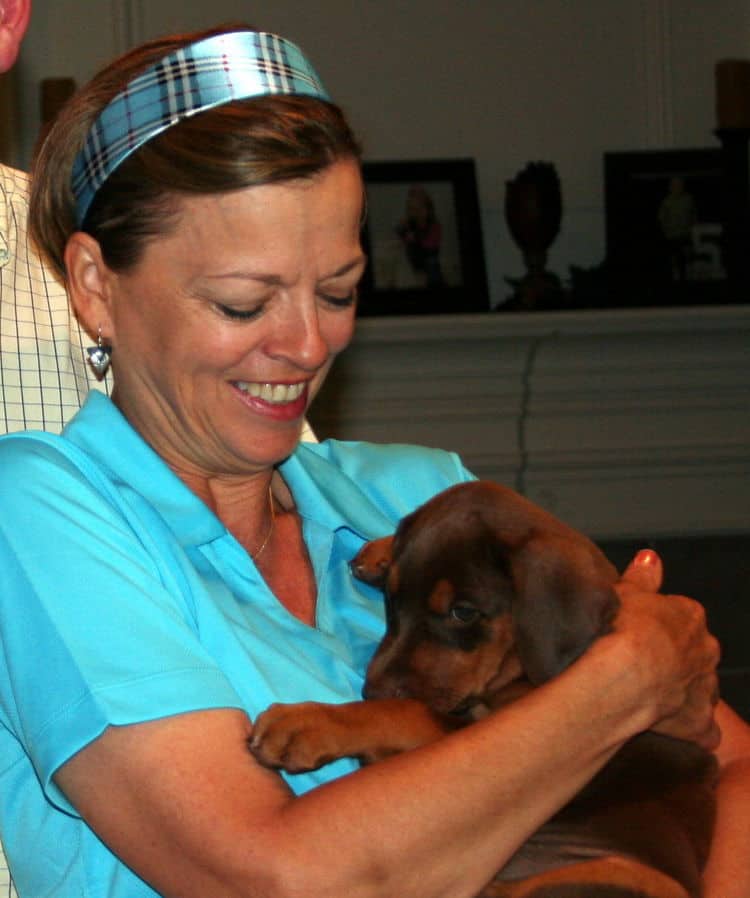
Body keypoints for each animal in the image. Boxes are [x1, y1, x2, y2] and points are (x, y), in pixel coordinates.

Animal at [251, 484, 716, 896]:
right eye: (392, 600)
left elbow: (405, 712)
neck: (517, 671)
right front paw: (381, 550)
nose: (372, 689)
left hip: (631, 874)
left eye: (463, 612)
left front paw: (305, 722)